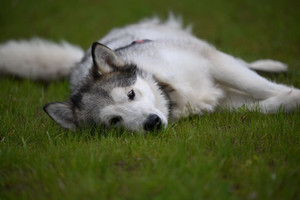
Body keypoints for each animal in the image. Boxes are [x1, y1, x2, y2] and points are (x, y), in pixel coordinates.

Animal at [0, 15, 300, 131]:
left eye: (132, 94)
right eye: (115, 121)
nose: (152, 123)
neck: (170, 91)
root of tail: (80, 60)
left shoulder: (213, 62)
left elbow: (261, 87)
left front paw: (292, 92)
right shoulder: (223, 101)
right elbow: (263, 105)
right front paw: (289, 100)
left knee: (245, 63)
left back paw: (274, 65)